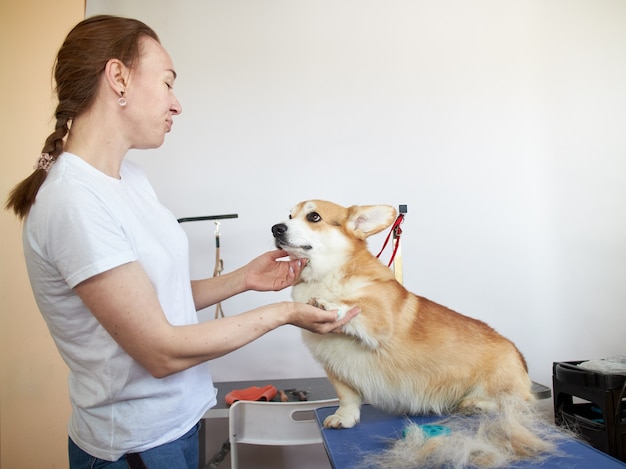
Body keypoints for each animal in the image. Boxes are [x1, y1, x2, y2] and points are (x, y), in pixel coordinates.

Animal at [272, 200, 560, 468]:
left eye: (314, 217)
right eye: (289, 216)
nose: (276, 228)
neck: (324, 277)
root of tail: (517, 353)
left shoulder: (380, 321)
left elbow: (357, 306)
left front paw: (328, 304)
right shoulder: (336, 368)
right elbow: (348, 398)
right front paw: (345, 418)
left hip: (502, 388)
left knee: (517, 404)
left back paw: (474, 404)